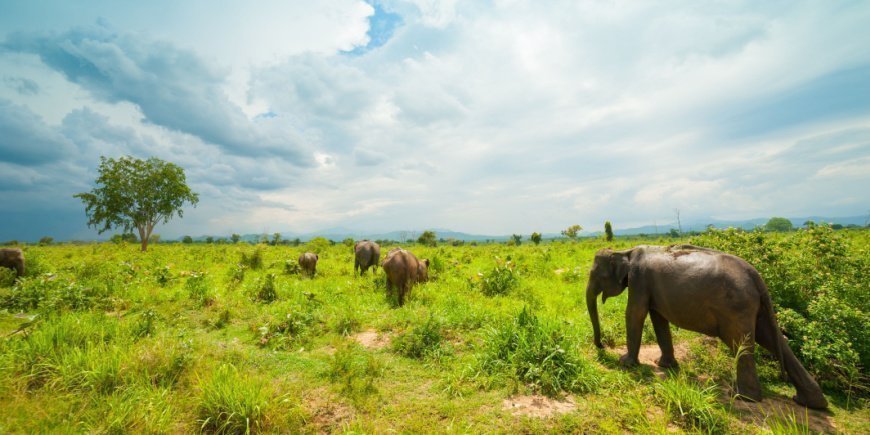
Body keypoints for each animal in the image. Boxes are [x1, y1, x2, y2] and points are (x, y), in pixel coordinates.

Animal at [584, 247, 832, 410]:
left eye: (597, 275)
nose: (601, 345)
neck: (625, 251)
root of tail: (756, 276)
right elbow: (658, 319)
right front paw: (664, 366)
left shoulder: (639, 280)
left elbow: (635, 314)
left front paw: (625, 364)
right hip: (754, 307)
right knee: (774, 341)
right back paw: (810, 403)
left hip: (735, 308)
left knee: (741, 345)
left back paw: (742, 397)